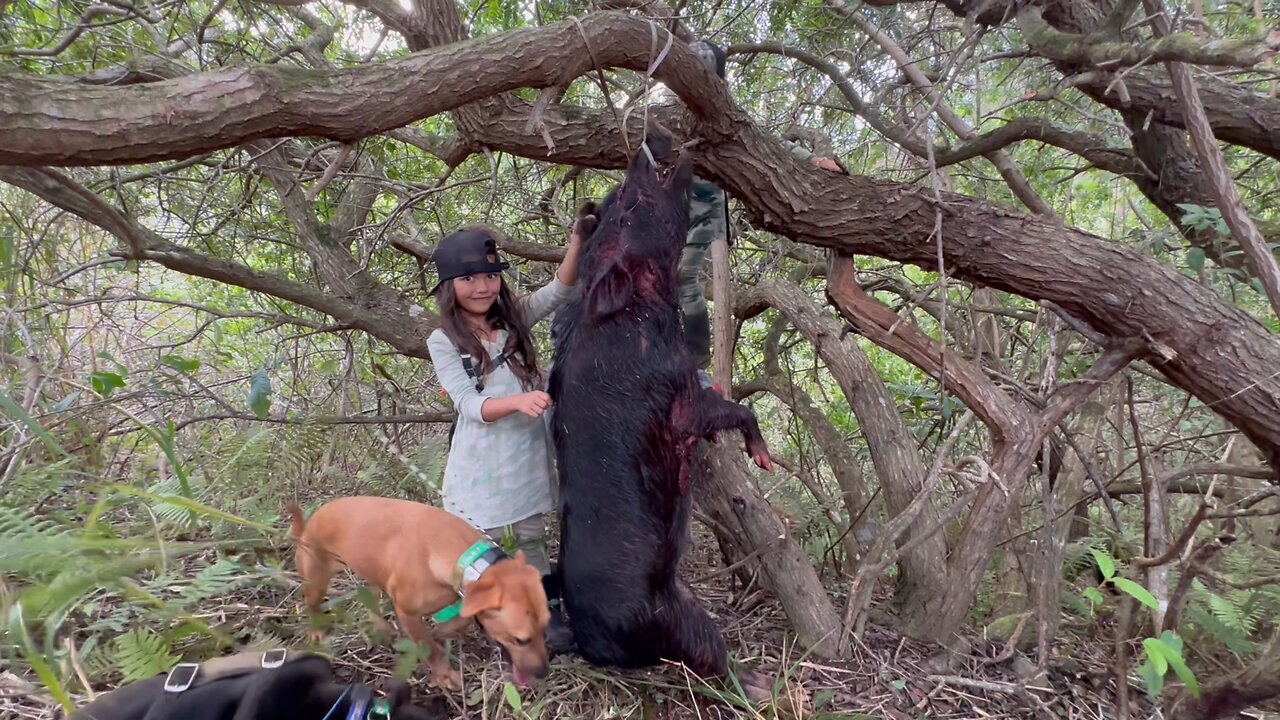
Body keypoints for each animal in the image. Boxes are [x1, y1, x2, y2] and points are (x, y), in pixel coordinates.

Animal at [285, 497, 550, 686]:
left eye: (545, 627)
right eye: (521, 639)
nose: (544, 672)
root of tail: (309, 524)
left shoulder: (459, 597)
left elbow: (459, 621)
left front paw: (443, 632)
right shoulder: (407, 612)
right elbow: (429, 648)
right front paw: (445, 675)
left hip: (374, 573)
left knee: (372, 600)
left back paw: (382, 628)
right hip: (315, 581)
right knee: (313, 607)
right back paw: (317, 632)